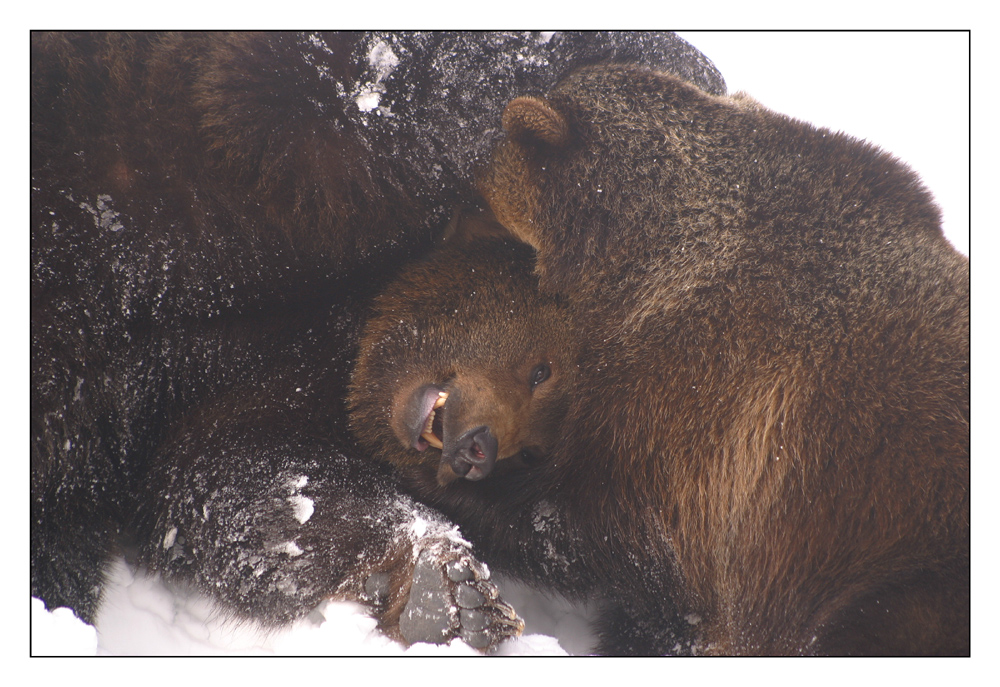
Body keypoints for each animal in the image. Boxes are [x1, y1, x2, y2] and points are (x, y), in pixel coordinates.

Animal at [33, 29, 728, 652]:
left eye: (530, 454)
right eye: (540, 369)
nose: (479, 449)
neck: (357, 338)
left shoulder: (249, 394)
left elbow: (255, 490)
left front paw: (449, 589)